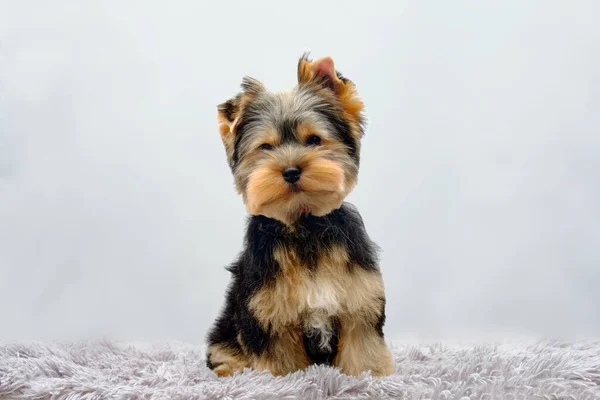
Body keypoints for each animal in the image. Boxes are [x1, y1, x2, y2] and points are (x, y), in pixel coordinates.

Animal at [206, 54, 394, 378]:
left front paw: (370, 376)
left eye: (314, 140)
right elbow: (280, 360)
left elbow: (362, 346)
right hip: (228, 325)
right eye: (265, 147)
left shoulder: (358, 300)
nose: (291, 170)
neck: (304, 223)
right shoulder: (269, 313)